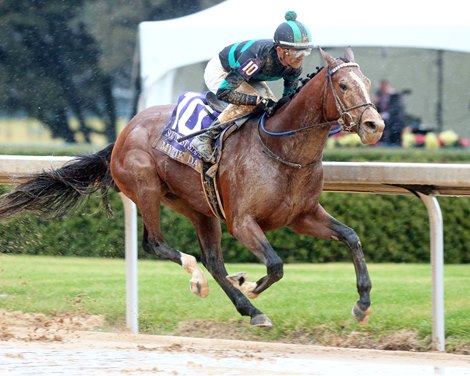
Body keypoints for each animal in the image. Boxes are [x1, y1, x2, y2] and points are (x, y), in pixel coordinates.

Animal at [0, 47, 382, 326]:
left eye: (367, 81)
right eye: (344, 86)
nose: (374, 125)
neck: (282, 149)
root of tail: (124, 132)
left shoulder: (302, 215)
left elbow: (351, 237)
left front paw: (362, 303)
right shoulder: (242, 222)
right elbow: (275, 265)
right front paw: (252, 286)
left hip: (198, 207)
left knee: (213, 261)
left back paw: (247, 307)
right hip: (146, 189)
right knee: (157, 244)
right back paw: (202, 280)